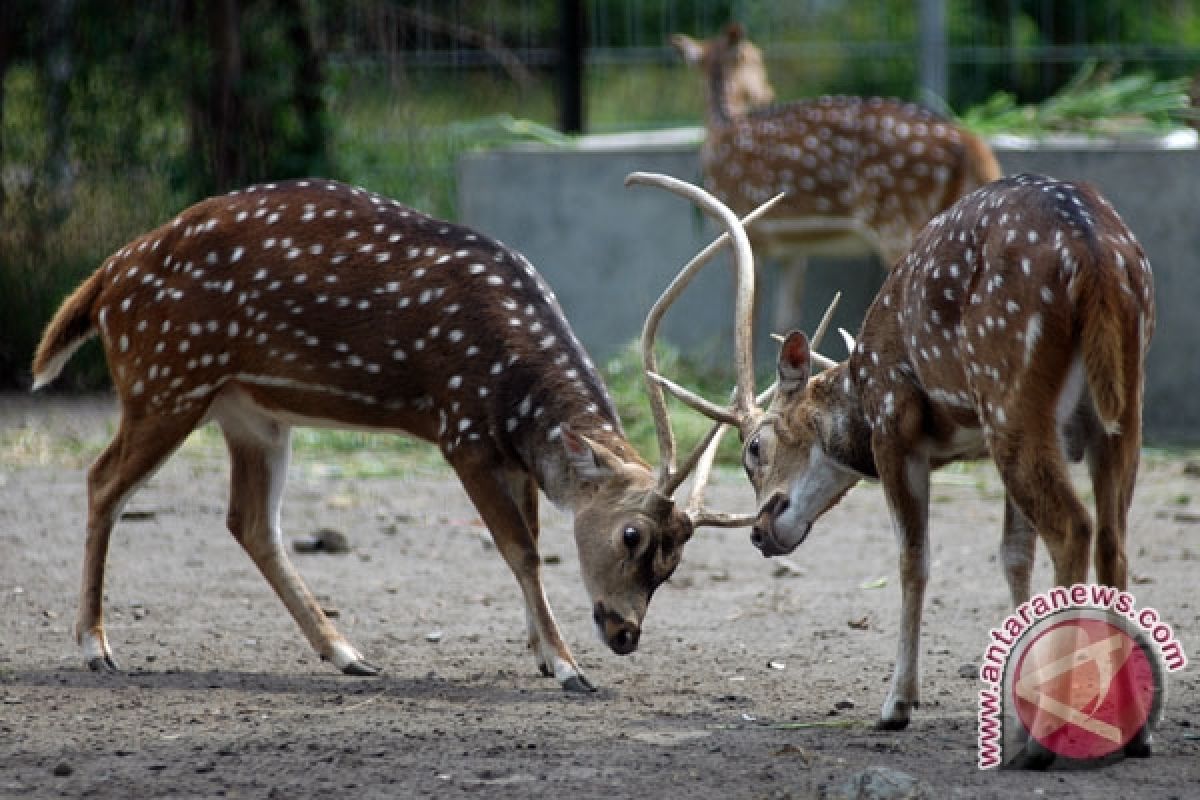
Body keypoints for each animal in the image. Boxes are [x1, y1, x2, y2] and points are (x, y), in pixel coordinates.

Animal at [32, 178, 753, 690]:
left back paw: (347, 653)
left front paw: (545, 657)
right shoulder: (461, 429)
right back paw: (97, 648)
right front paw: (570, 667)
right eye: (632, 535)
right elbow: (520, 550)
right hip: (166, 378)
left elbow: (532, 542)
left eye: (676, 561)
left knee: (249, 521)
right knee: (103, 481)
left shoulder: (513, 453)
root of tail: (106, 278)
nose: (625, 633)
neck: (514, 385)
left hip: (250, 412)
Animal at [652, 172, 1156, 734]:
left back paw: (1052, 723)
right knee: (1113, 538)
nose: (760, 533)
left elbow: (912, 559)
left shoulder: (896, 429)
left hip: (1013, 396)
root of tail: (1095, 257)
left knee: (1075, 528)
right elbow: (1013, 555)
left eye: (755, 450)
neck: (861, 390)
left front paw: (897, 704)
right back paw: (1132, 724)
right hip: (1117, 409)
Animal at [676, 21, 1003, 333]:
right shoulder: (792, 247)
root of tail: (969, 139)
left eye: (757, 57)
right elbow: (786, 319)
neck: (721, 128)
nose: (768, 93)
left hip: (898, 219)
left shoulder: (742, 226)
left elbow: (751, 316)